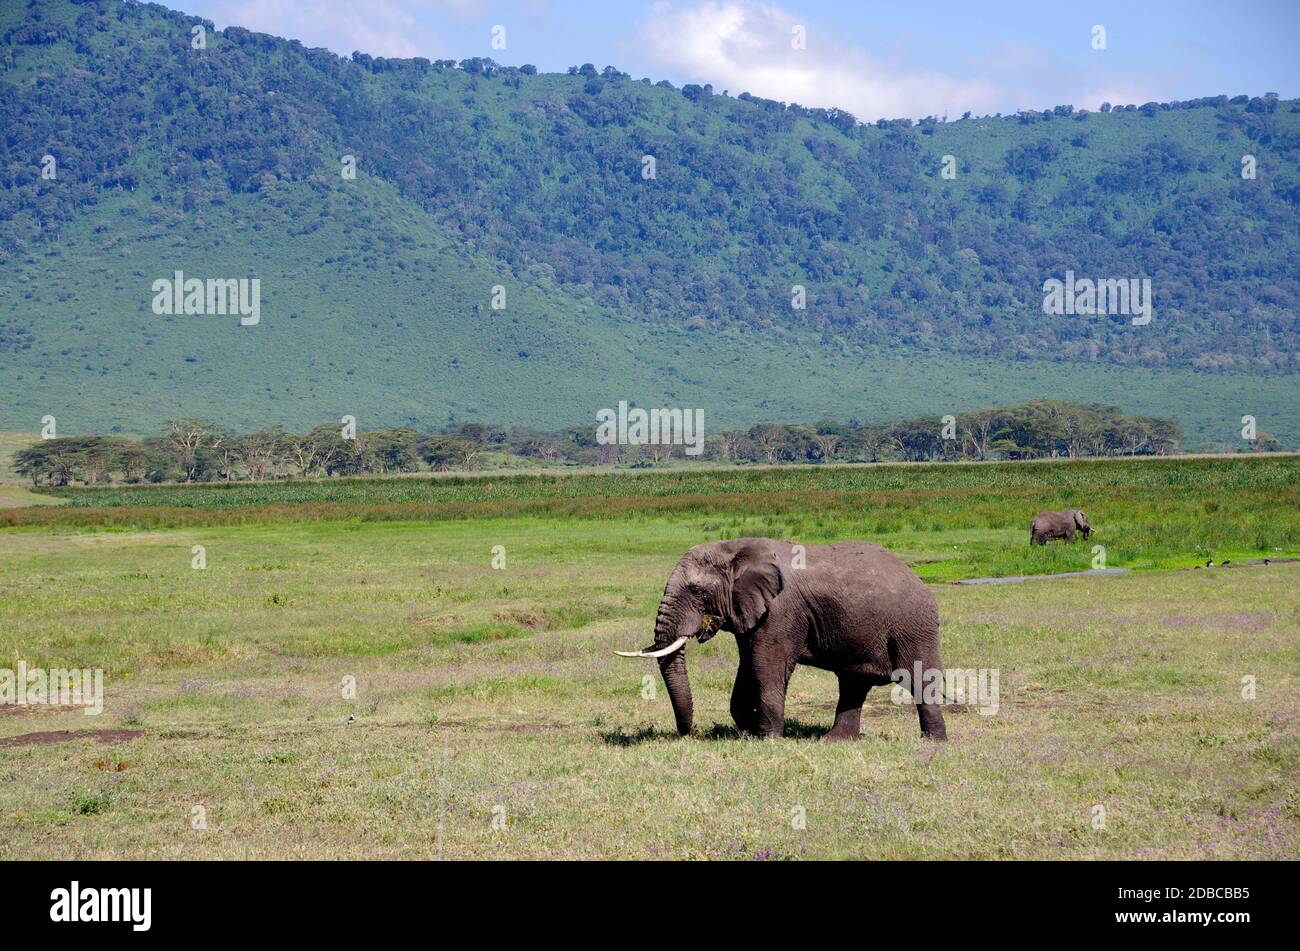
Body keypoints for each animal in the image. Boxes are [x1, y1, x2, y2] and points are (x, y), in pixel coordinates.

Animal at [613, 537, 951, 737]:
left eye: (696, 591)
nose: (689, 734)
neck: (735, 548)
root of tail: (918, 579)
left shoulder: (781, 610)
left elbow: (767, 664)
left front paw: (769, 738)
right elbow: (748, 665)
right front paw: (749, 732)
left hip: (914, 626)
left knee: (920, 680)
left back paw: (932, 742)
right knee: (853, 685)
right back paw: (834, 742)